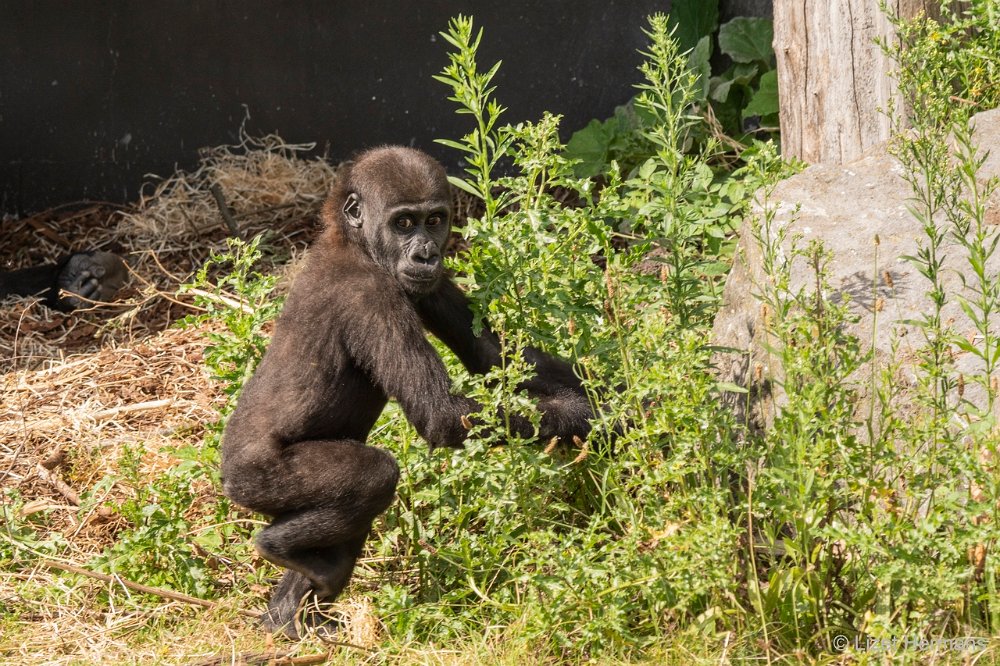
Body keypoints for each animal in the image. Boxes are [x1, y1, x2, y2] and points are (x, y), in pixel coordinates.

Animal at [223, 144, 588, 632]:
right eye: (403, 223)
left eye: (433, 220)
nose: (426, 255)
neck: (353, 241)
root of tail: (225, 472)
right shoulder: (371, 295)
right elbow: (441, 413)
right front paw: (587, 416)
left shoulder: (428, 283)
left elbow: (495, 358)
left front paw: (624, 400)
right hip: (257, 478)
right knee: (374, 475)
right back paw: (278, 549)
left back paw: (289, 610)